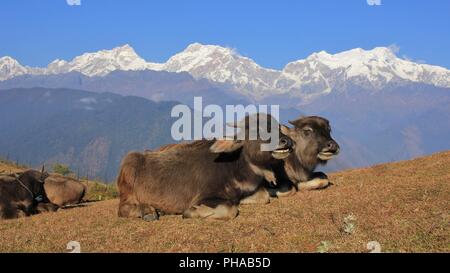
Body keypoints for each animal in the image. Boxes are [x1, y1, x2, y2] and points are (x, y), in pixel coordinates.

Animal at [117, 113, 292, 220]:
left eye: (278, 127)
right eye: (257, 130)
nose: (286, 141)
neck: (234, 167)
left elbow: (263, 196)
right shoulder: (204, 197)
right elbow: (229, 210)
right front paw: (193, 211)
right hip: (128, 182)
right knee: (123, 209)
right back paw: (149, 211)